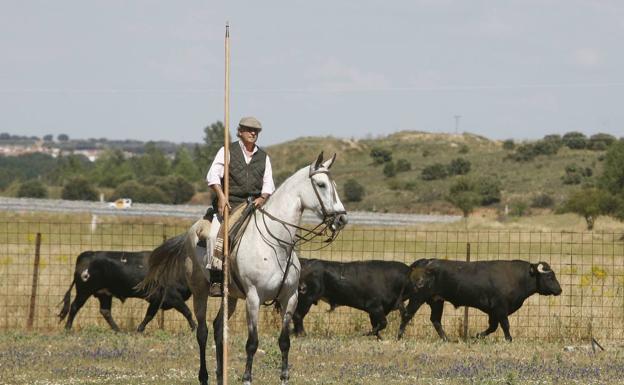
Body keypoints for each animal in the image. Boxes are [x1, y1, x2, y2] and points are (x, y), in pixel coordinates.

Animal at [58, 250, 196, 332]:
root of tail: (87, 255)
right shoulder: (172, 297)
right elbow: (188, 312)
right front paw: (195, 328)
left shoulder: (156, 300)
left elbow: (149, 315)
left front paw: (139, 329)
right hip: (84, 291)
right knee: (74, 307)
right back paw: (68, 328)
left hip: (104, 294)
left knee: (105, 312)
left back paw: (118, 330)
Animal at [140, 153, 348, 384]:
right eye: (321, 185)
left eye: (334, 185)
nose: (342, 218)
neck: (276, 245)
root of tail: (190, 232)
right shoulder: (253, 298)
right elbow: (252, 342)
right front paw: (247, 377)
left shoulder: (290, 297)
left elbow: (284, 341)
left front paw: (284, 377)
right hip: (199, 291)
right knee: (202, 331)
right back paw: (204, 376)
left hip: (229, 296)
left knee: (218, 328)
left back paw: (220, 375)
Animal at [292, 260, 428, 338]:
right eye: (414, 277)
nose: (421, 283)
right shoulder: (375, 307)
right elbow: (383, 323)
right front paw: (365, 334)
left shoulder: (376, 311)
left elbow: (376, 325)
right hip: (306, 298)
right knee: (298, 316)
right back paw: (302, 334)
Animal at [400, 256, 564, 340]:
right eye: (549, 276)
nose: (559, 290)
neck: (519, 277)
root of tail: (425, 261)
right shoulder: (500, 308)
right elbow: (505, 325)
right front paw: (509, 339)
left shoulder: (493, 312)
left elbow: (492, 327)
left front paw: (477, 336)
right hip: (418, 298)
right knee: (407, 315)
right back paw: (399, 337)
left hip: (437, 301)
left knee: (435, 320)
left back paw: (447, 339)